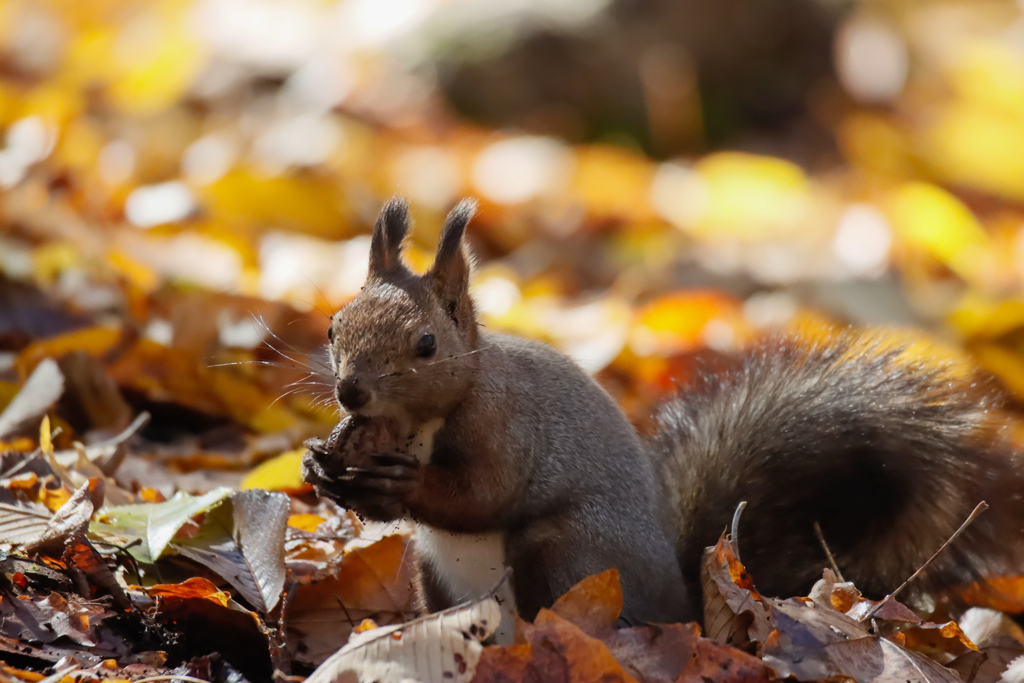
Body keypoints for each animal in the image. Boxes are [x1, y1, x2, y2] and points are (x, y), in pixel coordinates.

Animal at [301, 196, 1024, 630]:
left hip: (570, 553)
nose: (352, 393)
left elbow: (484, 494)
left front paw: (403, 483)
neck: (418, 422)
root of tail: (686, 608)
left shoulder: (505, 426)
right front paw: (321, 467)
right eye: (334, 325)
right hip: (436, 575)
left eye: (426, 344)